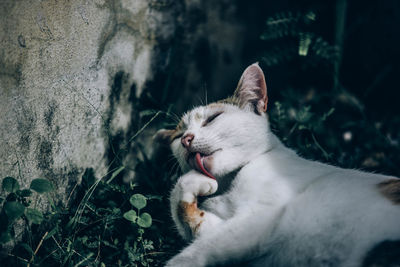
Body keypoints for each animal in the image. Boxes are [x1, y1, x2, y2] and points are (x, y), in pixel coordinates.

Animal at [155, 63, 400, 267]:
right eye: (178, 137)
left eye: (212, 119)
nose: (186, 139)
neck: (230, 183)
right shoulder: (226, 227)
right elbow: (184, 210)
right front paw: (196, 184)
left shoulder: (260, 219)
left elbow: (194, 253)